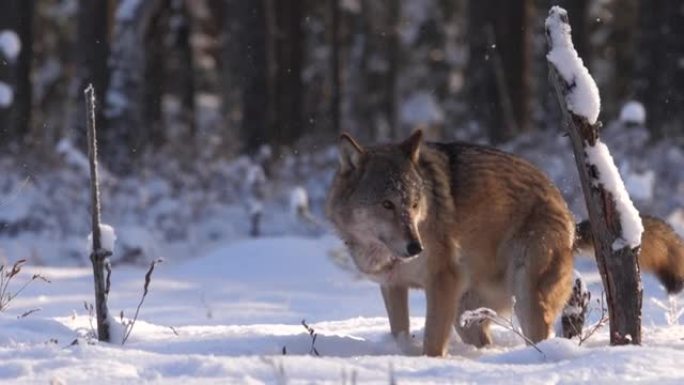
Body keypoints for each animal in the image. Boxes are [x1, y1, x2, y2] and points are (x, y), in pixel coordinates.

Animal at [328, 130, 576, 356]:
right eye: (387, 204)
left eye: (414, 204)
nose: (416, 248)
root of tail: (562, 201)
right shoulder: (393, 285)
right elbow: (399, 331)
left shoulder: (443, 280)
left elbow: (433, 341)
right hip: (464, 313)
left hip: (524, 294)